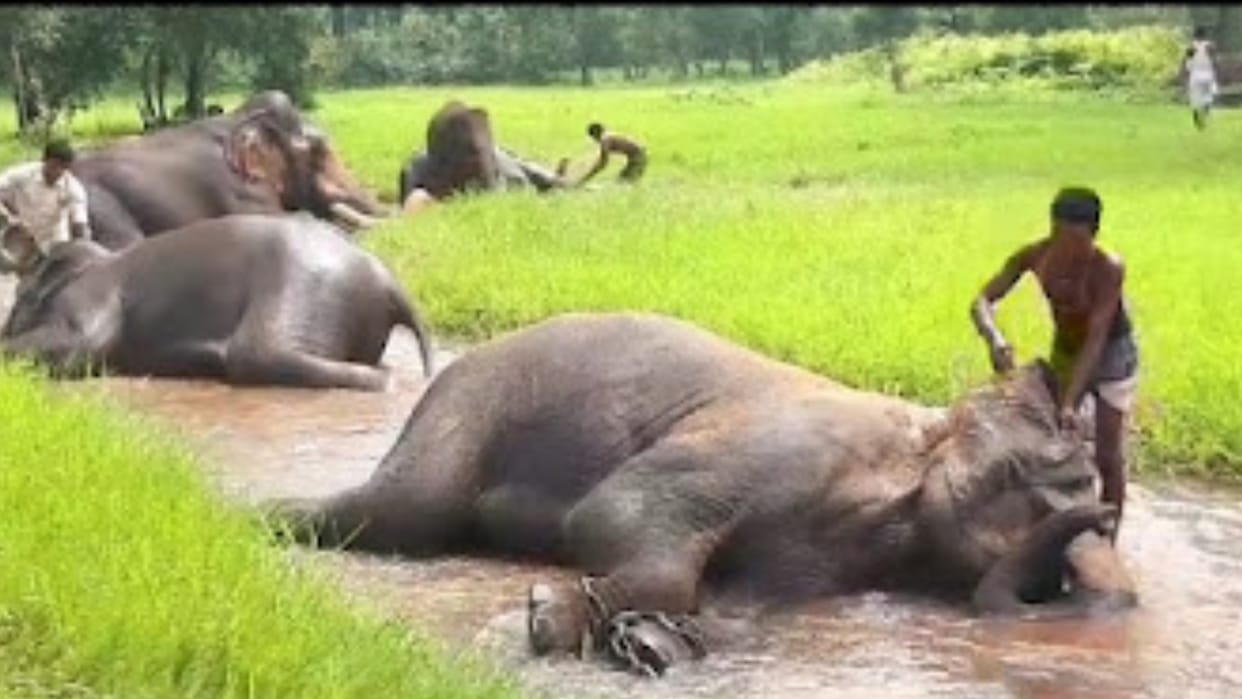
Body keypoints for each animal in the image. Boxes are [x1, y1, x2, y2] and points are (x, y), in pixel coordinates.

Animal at [0, 213, 432, 389]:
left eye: (18, 298)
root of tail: (389, 283)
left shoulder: (91, 296)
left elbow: (83, 344)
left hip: (302, 288)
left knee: (253, 355)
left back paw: (388, 383)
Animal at [266, 312, 1138, 677]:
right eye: (1030, 481)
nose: (1102, 511)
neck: (914, 450)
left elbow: (739, 602)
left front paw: (648, 645)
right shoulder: (785, 444)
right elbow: (615, 509)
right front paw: (548, 615)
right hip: (468, 402)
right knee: (405, 509)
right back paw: (264, 521)